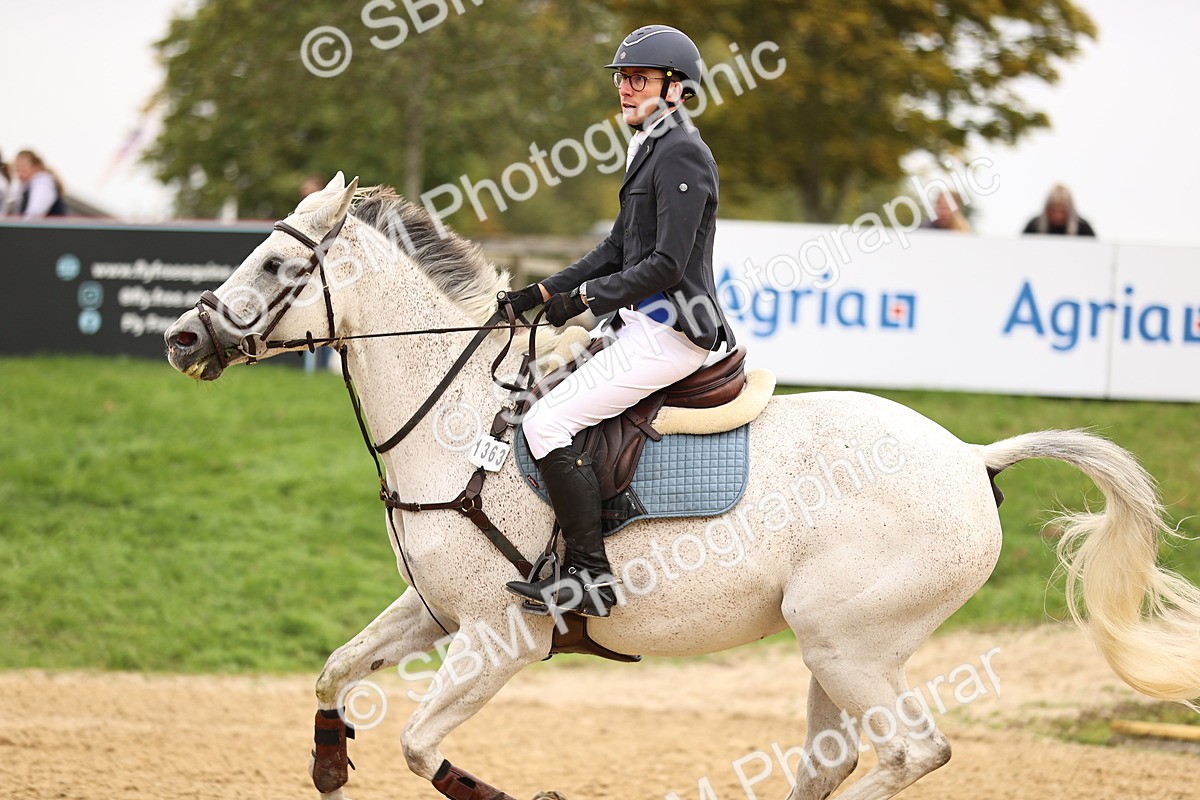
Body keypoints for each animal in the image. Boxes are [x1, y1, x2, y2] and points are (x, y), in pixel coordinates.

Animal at [165, 173, 1200, 800]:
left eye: (277, 263)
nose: (181, 338)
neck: (456, 423)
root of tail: (971, 455)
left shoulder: (500, 639)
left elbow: (421, 744)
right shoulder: (435, 612)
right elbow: (335, 668)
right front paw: (327, 763)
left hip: (848, 641)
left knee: (911, 753)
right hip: (840, 649)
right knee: (831, 762)